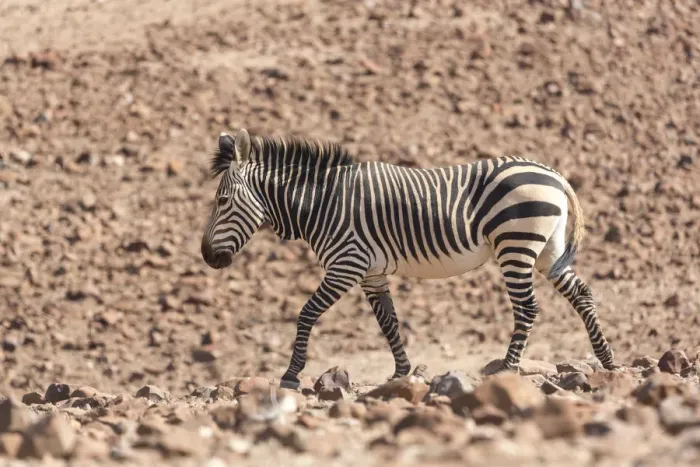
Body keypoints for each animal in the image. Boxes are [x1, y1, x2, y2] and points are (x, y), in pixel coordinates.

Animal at [200, 128, 616, 389]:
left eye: (222, 200)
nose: (206, 257)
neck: (322, 203)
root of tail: (554, 174)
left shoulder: (346, 264)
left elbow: (306, 314)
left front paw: (290, 373)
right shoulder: (371, 273)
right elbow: (389, 323)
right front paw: (402, 372)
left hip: (515, 244)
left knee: (528, 308)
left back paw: (508, 368)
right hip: (547, 250)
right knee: (582, 294)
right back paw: (608, 360)